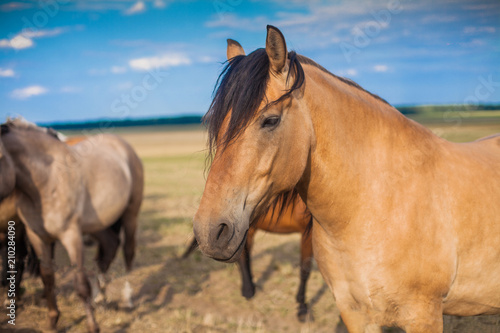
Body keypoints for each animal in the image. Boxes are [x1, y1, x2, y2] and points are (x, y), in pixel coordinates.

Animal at [0, 118, 145, 330]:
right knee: (108, 249)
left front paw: (93, 326)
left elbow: (80, 284)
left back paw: (127, 298)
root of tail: (122, 144)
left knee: (128, 252)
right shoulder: (37, 237)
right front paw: (53, 320)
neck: (47, 181)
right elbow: (47, 277)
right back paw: (100, 296)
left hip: (130, 215)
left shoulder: (72, 235)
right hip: (98, 225)